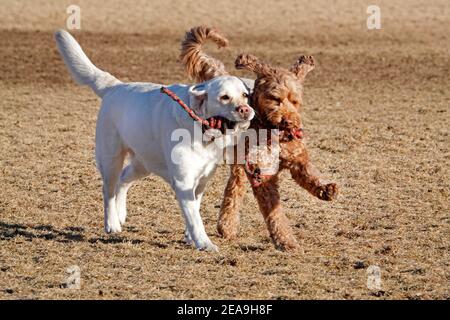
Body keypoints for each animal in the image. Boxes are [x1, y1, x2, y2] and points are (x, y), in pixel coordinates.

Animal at [53, 30, 253, 251]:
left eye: (245, 95)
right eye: (224, 97)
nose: (245, 110)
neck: (202, 130)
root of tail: (115, 87)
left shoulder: (201, 180)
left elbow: (195, 209)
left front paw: (190, 237)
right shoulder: (183, 182)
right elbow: (195, 218)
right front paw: (204, 243)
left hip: (143, 164)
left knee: (123, 179)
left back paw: (120, 213)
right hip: (111, 159)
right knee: (108, 190)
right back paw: (112, 223)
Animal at [179, 26, 338, 250]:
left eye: (295, 101)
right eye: (275, 99)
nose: (289, 122)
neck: (273, 134)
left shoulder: (297, 159)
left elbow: (310, 174)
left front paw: (326, 189)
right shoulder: (262, 175)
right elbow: (274, 213)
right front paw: (286, 240)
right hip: (240, 162)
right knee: (234, 190)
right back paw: (226, 225)